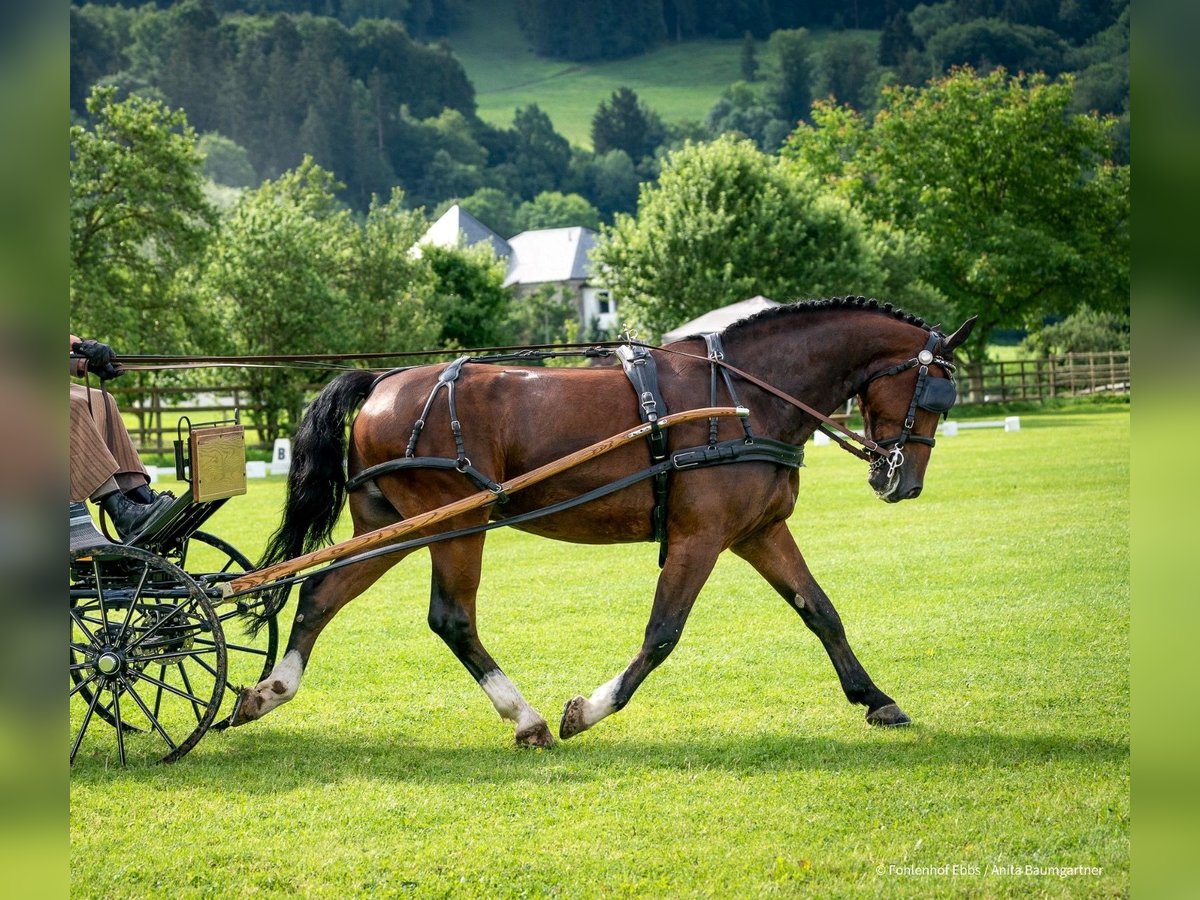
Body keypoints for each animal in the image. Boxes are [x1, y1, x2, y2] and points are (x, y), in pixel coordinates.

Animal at [231, 300, 974, 744]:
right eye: (934, 393)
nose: (901, 482)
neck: (742, 396)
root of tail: (383, 383)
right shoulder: (699, 539)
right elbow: (663, 633)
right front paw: (588, 708)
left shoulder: (757, 532)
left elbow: (820, 610)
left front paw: (874, 697)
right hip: (458, 524)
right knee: (451, 618)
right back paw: (525, 717)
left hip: (398, 526)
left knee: (320, 593)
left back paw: (270, 690)